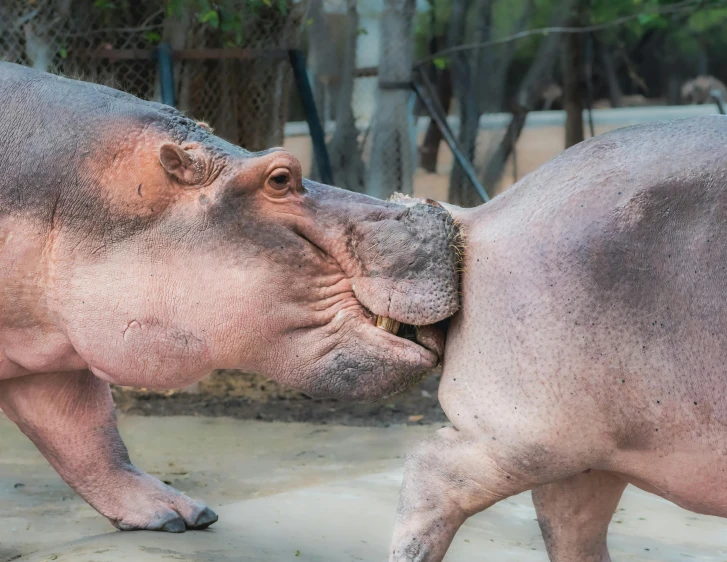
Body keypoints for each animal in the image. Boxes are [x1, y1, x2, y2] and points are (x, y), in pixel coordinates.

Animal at [0, 63, 464, 532]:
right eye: (281, 177)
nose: (432, 208)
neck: (73, 194)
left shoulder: (49, 345)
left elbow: (87, 432)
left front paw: (180, 514)